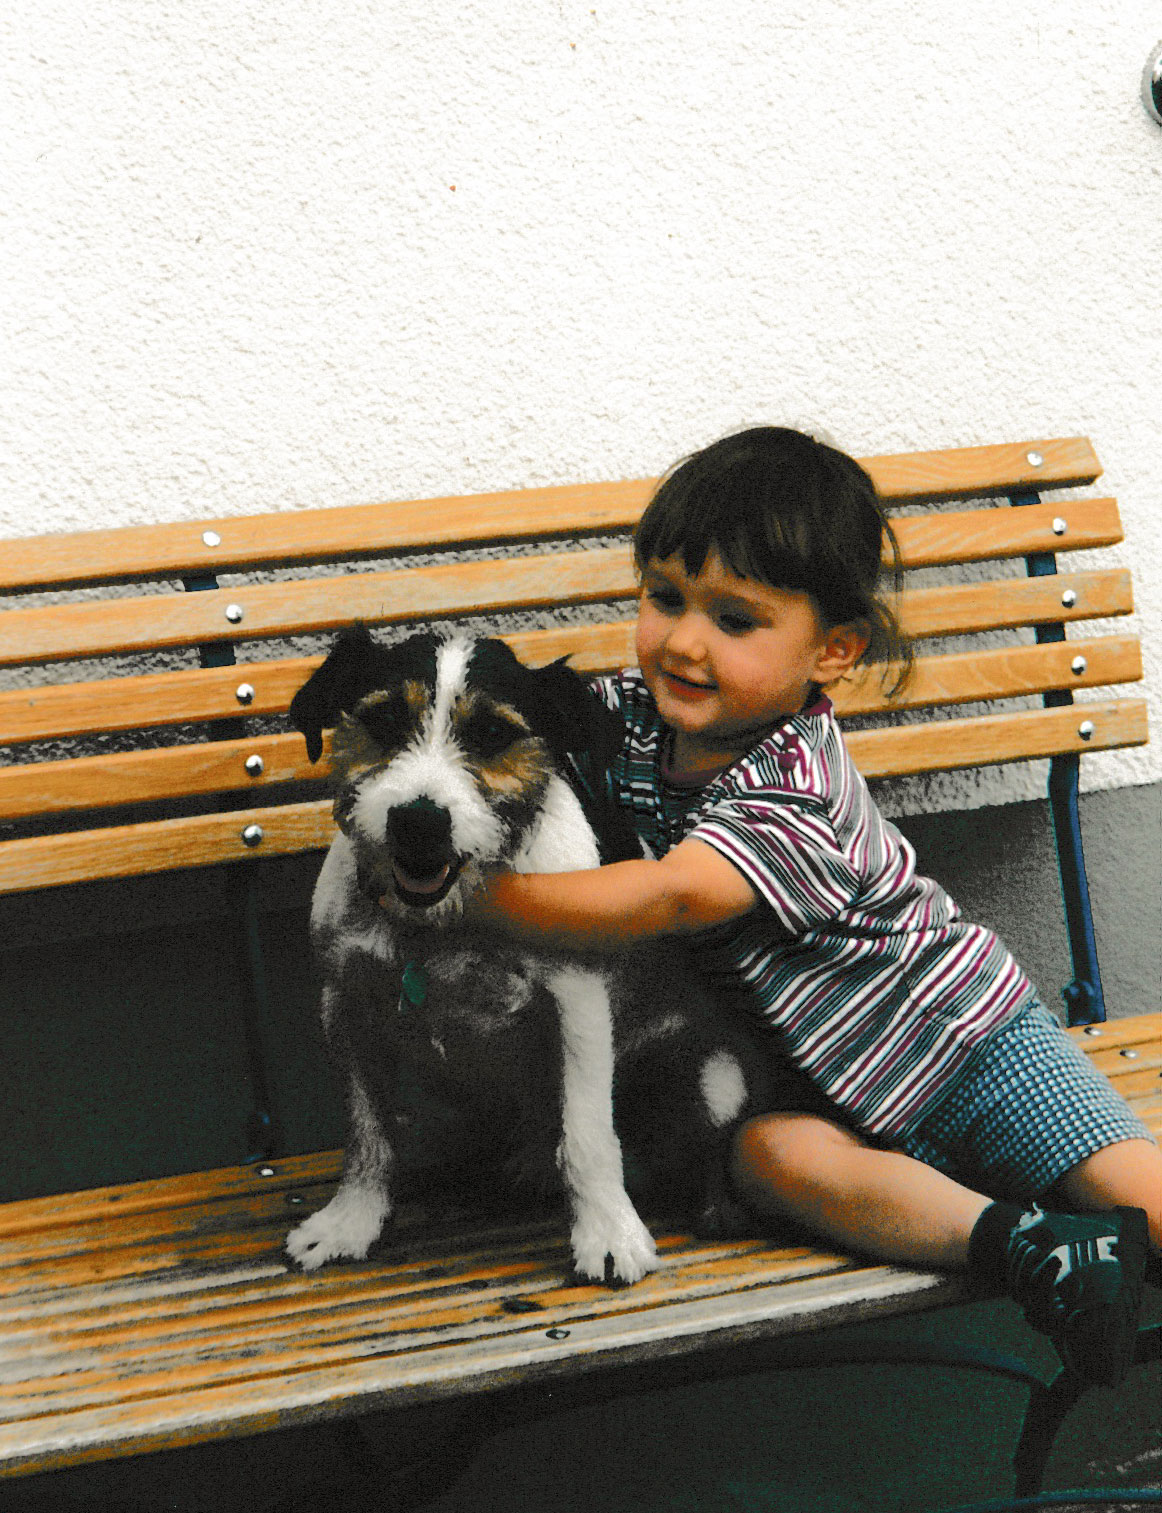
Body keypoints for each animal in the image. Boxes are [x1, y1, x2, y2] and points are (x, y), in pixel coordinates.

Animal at [284, 620, 768, 1283]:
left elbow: (588, 1136)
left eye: (492, 734)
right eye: (381, 721)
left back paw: (714, 1205)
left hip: (713, 1077)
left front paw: (608, 1235)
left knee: (703, 1144)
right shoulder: (347, 1008)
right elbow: (367, 1130)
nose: (418, 821)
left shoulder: (578, 1005)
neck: (442, 923)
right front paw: (349, 1222)